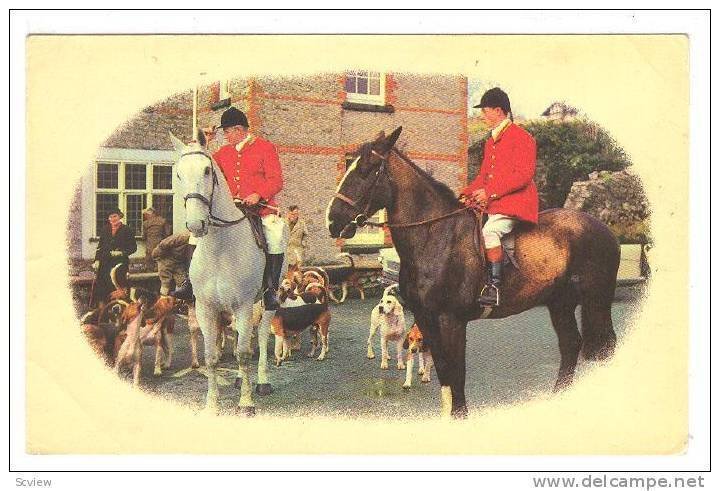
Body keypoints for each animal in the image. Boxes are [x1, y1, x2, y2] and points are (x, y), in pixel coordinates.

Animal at [170, 133, 280, 418]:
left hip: (267, 303)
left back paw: (262, 382)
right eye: (178, 174)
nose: (195, 225)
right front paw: (211, 404)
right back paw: (242, 380)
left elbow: (243, 354)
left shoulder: (243, 305)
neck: (220, 248)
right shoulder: (205, 308)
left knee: (261, 337)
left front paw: (246, 403)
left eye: (207, 171)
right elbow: (211, 356)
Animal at [330, 127, 620, 418]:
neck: (435, 236)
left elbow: (457, 374)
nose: (332, 221)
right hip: (560, 303)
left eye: (367, 169)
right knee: (570, 345)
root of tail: (603, 228)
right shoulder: (426, 319)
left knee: (605, 346)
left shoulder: (452, 321)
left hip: (597, 301)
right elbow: (445, 373)